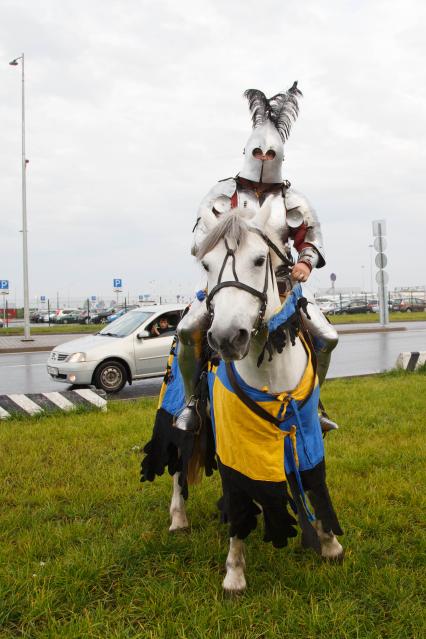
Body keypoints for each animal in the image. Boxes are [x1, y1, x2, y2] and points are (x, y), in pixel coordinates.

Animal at [167, 201, 342, 596]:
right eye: (206, 264)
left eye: (261, 259)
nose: (228, 337)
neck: (269, 367)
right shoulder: (235, 440)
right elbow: (236, 494)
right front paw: (234, 573)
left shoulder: (304, 432)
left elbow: (313, 480)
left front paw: (328, 542)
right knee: (180, 458)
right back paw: (178, 517)